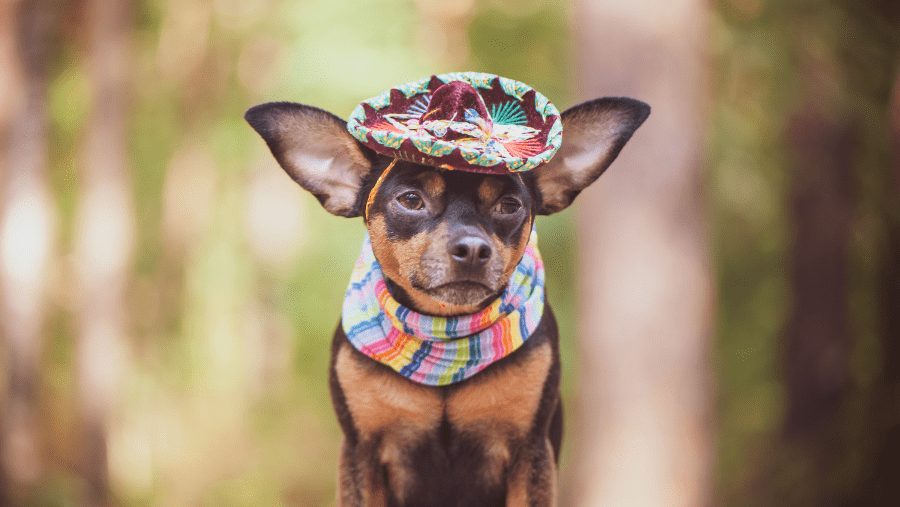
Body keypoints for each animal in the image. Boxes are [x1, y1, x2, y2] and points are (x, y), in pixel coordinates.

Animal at [246, 74, 648, 507]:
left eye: (510, 205)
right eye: (410, 199)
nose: (472, 249)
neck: (445, 334)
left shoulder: (530, 452)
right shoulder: (360, 451)